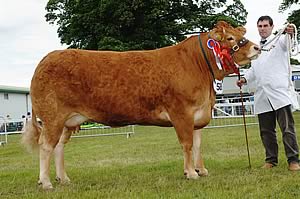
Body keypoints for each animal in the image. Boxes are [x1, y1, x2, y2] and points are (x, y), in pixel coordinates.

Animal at [21, 20, 260, 190]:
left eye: (242, 35)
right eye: (230, 37)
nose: (257, 47)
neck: (197, 66)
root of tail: (46, 59)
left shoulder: (198, 114)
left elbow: (198, 145)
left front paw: (201, 169)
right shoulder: (181, 113)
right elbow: (187, 144)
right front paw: (191, 173)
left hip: (67, 121)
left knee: (59, 147)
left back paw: (63, 178)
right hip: (52, 116)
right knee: (46, 146)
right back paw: (46, 182)